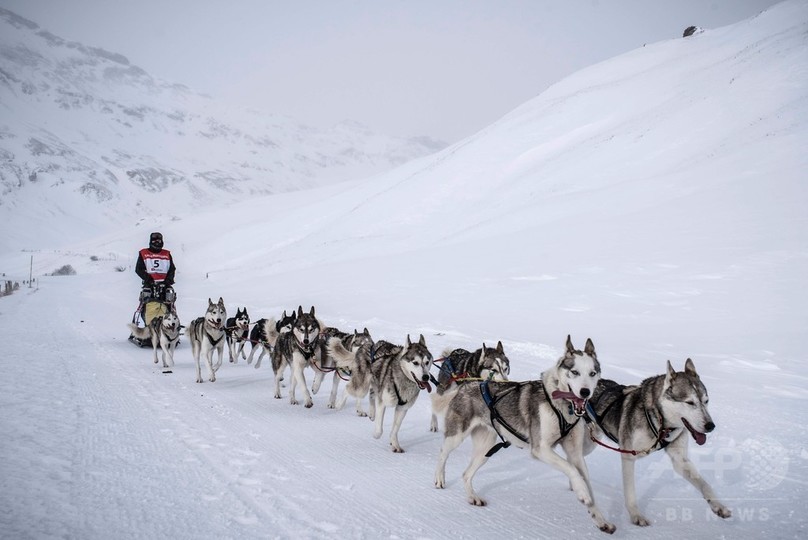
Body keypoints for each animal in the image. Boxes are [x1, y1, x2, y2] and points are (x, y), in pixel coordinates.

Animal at [436, 336, 612, 532]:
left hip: (485, 449)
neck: (561, 406)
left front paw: (600, 519)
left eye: (592, 373)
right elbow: (571, 469)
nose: (585, 392)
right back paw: (439, 478)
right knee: (443, 452)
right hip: (457, 436)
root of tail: (468, 384)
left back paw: (472, 497)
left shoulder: (575, 454)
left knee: (466, 474)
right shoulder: (541, 449)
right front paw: (582, 492)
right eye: (574, 372)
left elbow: (584, 479)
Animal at [588, 360, 732, 524]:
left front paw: (718, 506)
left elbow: (705, 485)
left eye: (706, 401)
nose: (710, 426)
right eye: (690, 402)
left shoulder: (680, 460)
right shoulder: (628, 456)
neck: (661, 424)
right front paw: (636, 515)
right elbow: (630, 491)